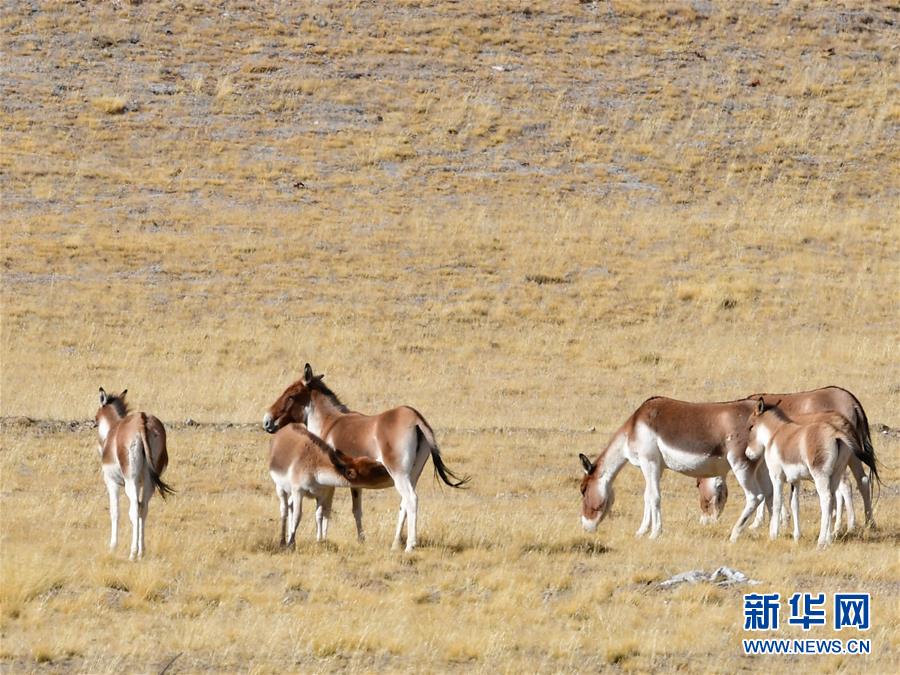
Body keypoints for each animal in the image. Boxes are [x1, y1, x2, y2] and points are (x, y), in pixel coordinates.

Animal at [96, 388, 173, 564]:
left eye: (95, 419)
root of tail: (141, 420)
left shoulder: (111, 482)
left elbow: (115, 512)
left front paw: (113, 546)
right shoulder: (141, 483)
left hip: (131, 481)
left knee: (134, 509)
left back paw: (132, 553)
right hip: (149, 482)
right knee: (143, 509)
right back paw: (141, 552)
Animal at [264, 368, 468, 552]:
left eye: (291, 395)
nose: (267, 421)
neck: (331, 422)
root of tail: (416, 418)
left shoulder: (333, 479)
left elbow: (327, 510)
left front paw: (322, 540)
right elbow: (355, 509)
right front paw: (359, 539)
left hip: (399, 474)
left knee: (411, 500)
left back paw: (410, 545)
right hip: (413, 474)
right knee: (404, 504)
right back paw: (395, 544)